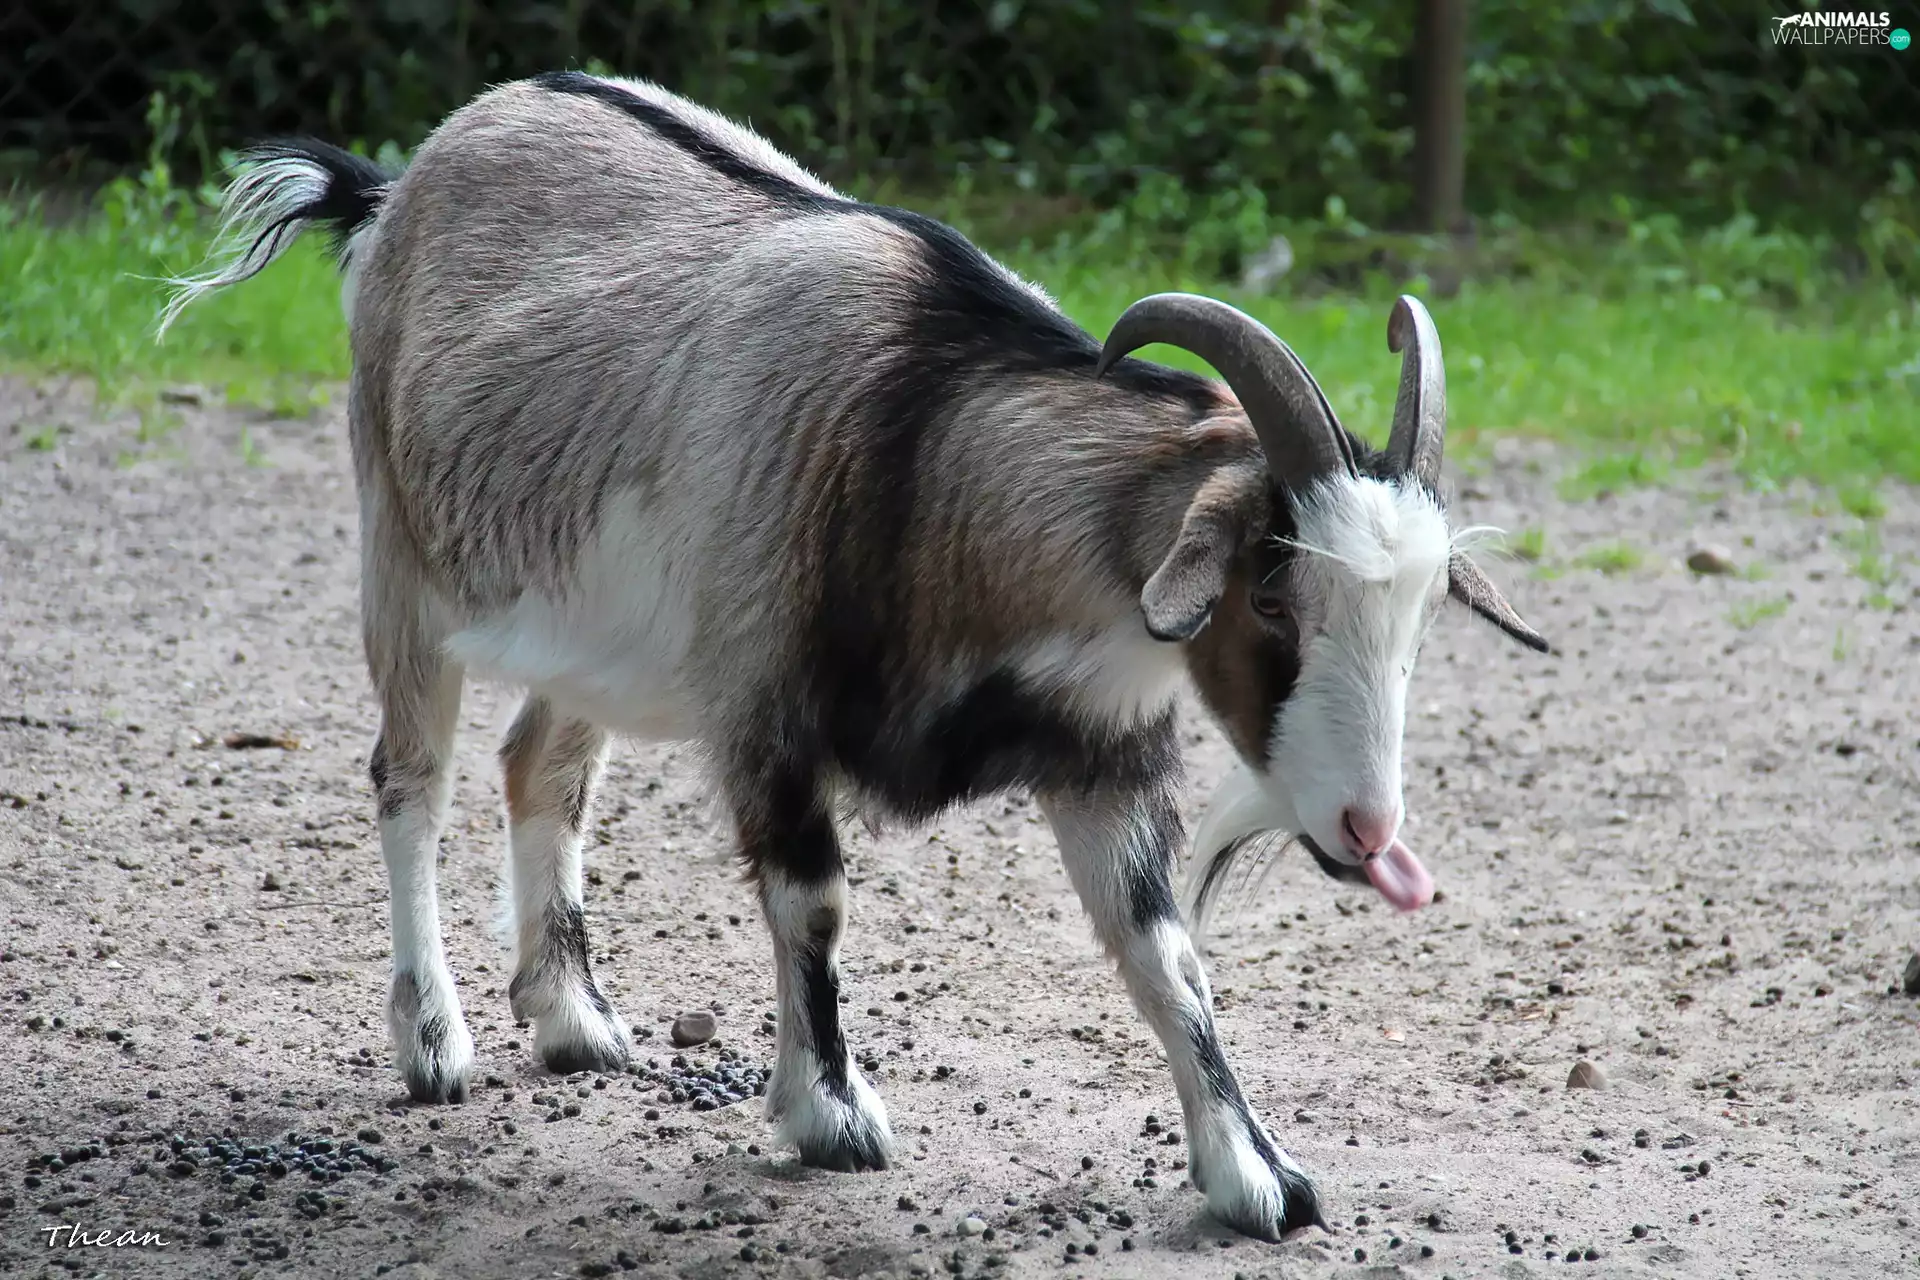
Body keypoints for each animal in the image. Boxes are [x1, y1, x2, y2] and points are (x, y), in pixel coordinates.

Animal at [163, 72, 1547, 1241]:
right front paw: (830, 1111)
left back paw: (572, 1020)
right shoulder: (763, 705)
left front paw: (1257, 1174)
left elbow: (1163, 952)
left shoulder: (1096, 747)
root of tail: (398, 185)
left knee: (539, 766)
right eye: (1269, 594)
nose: (1370, 831)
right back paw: (434, 1041)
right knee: (413, 775)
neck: (925, 456)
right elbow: (814, 898)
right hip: (403, 557)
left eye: (1421, 615)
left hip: (593, 635)